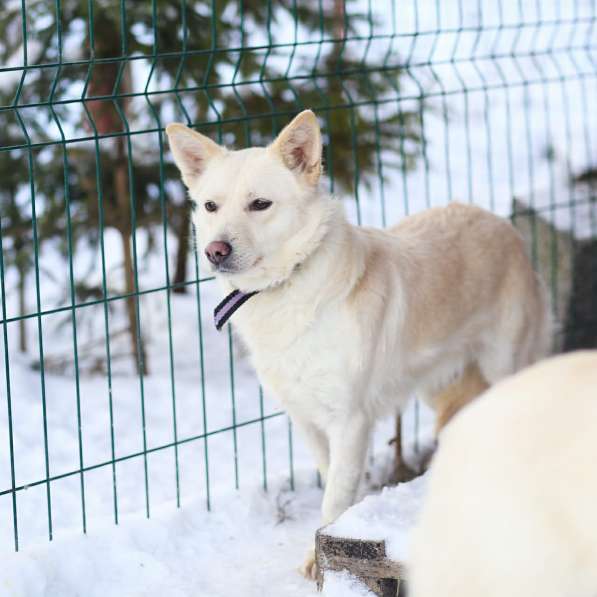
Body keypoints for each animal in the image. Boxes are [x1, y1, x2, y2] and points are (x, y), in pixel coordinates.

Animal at [165, 109, 548, 576]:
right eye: (210, 206)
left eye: (260, 205)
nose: (215, 251)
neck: (290, 285)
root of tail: (503, 225)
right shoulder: (307, 420)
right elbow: (336, 480)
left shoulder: (350, 421)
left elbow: (333, 496)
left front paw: (319, 558)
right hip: (438, 384)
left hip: (504, 365)